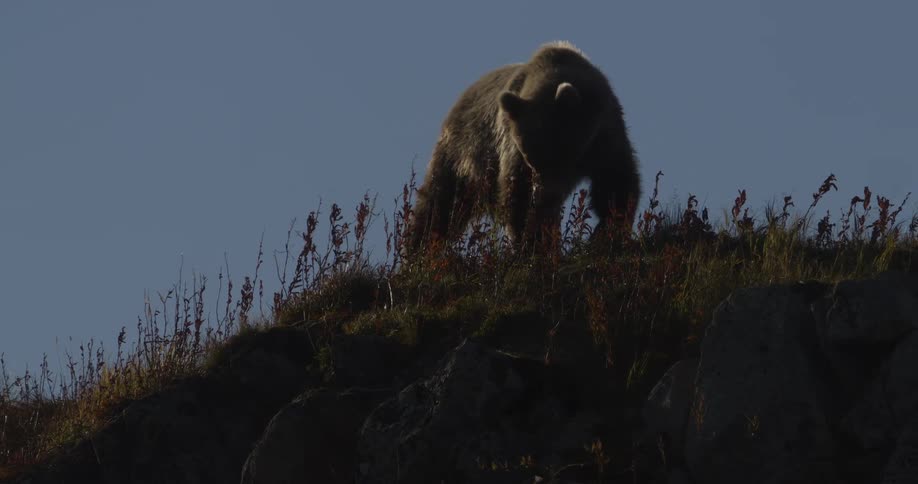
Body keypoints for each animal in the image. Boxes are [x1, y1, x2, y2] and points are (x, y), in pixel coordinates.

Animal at [408, 41, 641, 252]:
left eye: (559, 153)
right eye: (530, 158)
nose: (542, 195)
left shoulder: (605, 135)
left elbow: (616, 184)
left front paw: (608, 231)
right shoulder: (511, 147)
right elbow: (517, 195)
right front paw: (533, 244)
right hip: (462, 155)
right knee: (440, 205)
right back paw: (419, 248)